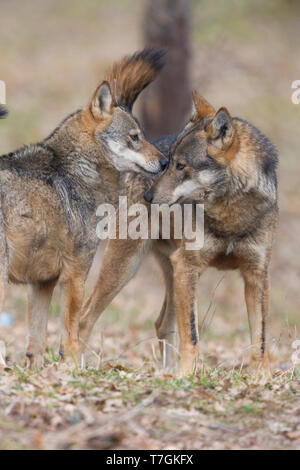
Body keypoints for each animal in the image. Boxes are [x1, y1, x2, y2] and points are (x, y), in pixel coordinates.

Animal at [0, 50, 166, 368]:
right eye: (134, 137)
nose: (165, 162)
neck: (79, 171)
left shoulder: (42, 283)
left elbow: (35, 343)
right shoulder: (75, 274)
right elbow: (72, 335)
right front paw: (74, 369)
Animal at [78, 91, 278, 378]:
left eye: (181, 166)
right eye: (169, 163)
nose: (148, 197)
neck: (229, 215)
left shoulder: (257, 275)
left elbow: (259, 339)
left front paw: (262, 377)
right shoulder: (188, 266)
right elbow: (192, 335)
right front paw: (187, 376)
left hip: (172, 277)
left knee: (161, 323)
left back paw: (165, 373)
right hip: (127, 269)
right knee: (84, 317)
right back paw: (73, 366)